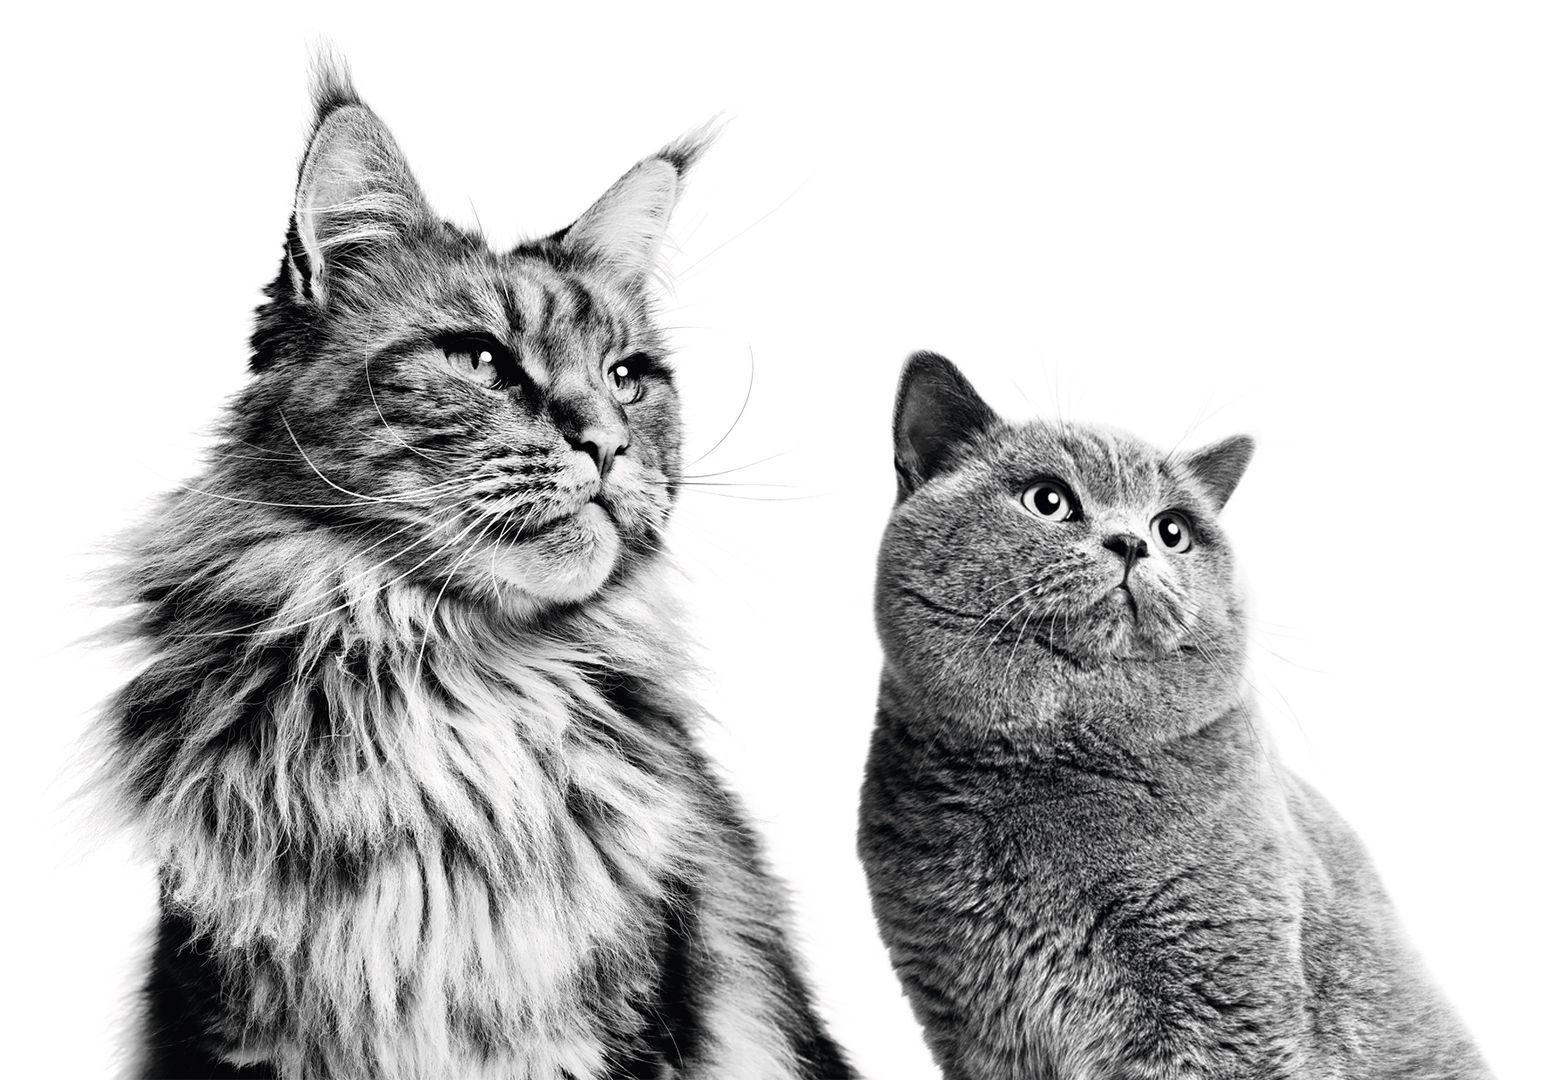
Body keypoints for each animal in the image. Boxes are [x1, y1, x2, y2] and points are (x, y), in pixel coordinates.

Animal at [860, 353, 1490, 1078]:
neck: (1054, 769)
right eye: (1048, 500)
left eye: (1172, 530)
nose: (1132, 543)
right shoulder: (973, 1025)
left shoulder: (1221, 1007)